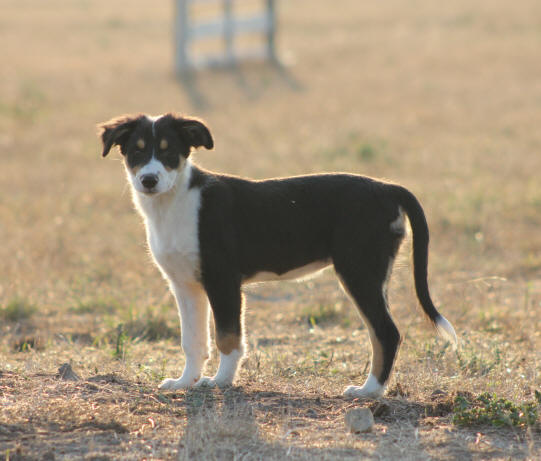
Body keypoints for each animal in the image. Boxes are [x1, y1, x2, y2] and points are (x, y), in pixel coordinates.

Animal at [98, 112, 456, 398]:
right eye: (136, 151)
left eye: (169, 151)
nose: (149, 180)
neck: (174, 203)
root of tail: (389, 188)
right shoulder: (185, 286)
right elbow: (194, 341)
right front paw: (186, 382)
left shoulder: (223, 280)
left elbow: (228, 337)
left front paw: (220, 382)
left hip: (360, 271)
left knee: (386, 332)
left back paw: (369, 391)